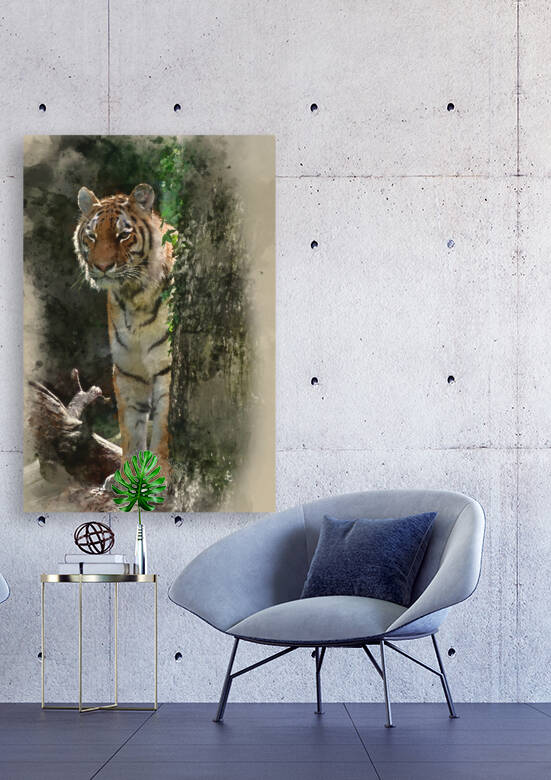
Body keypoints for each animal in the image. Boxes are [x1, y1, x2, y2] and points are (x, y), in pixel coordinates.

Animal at [73, 183, 175, 489]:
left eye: (123, 234)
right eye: (92, 235)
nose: (102, 266)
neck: (133, 296)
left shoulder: (167, 366)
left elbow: (163, 424)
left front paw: (161, 473)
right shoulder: (129, 370)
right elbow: (130, 426)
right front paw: (127, 475)